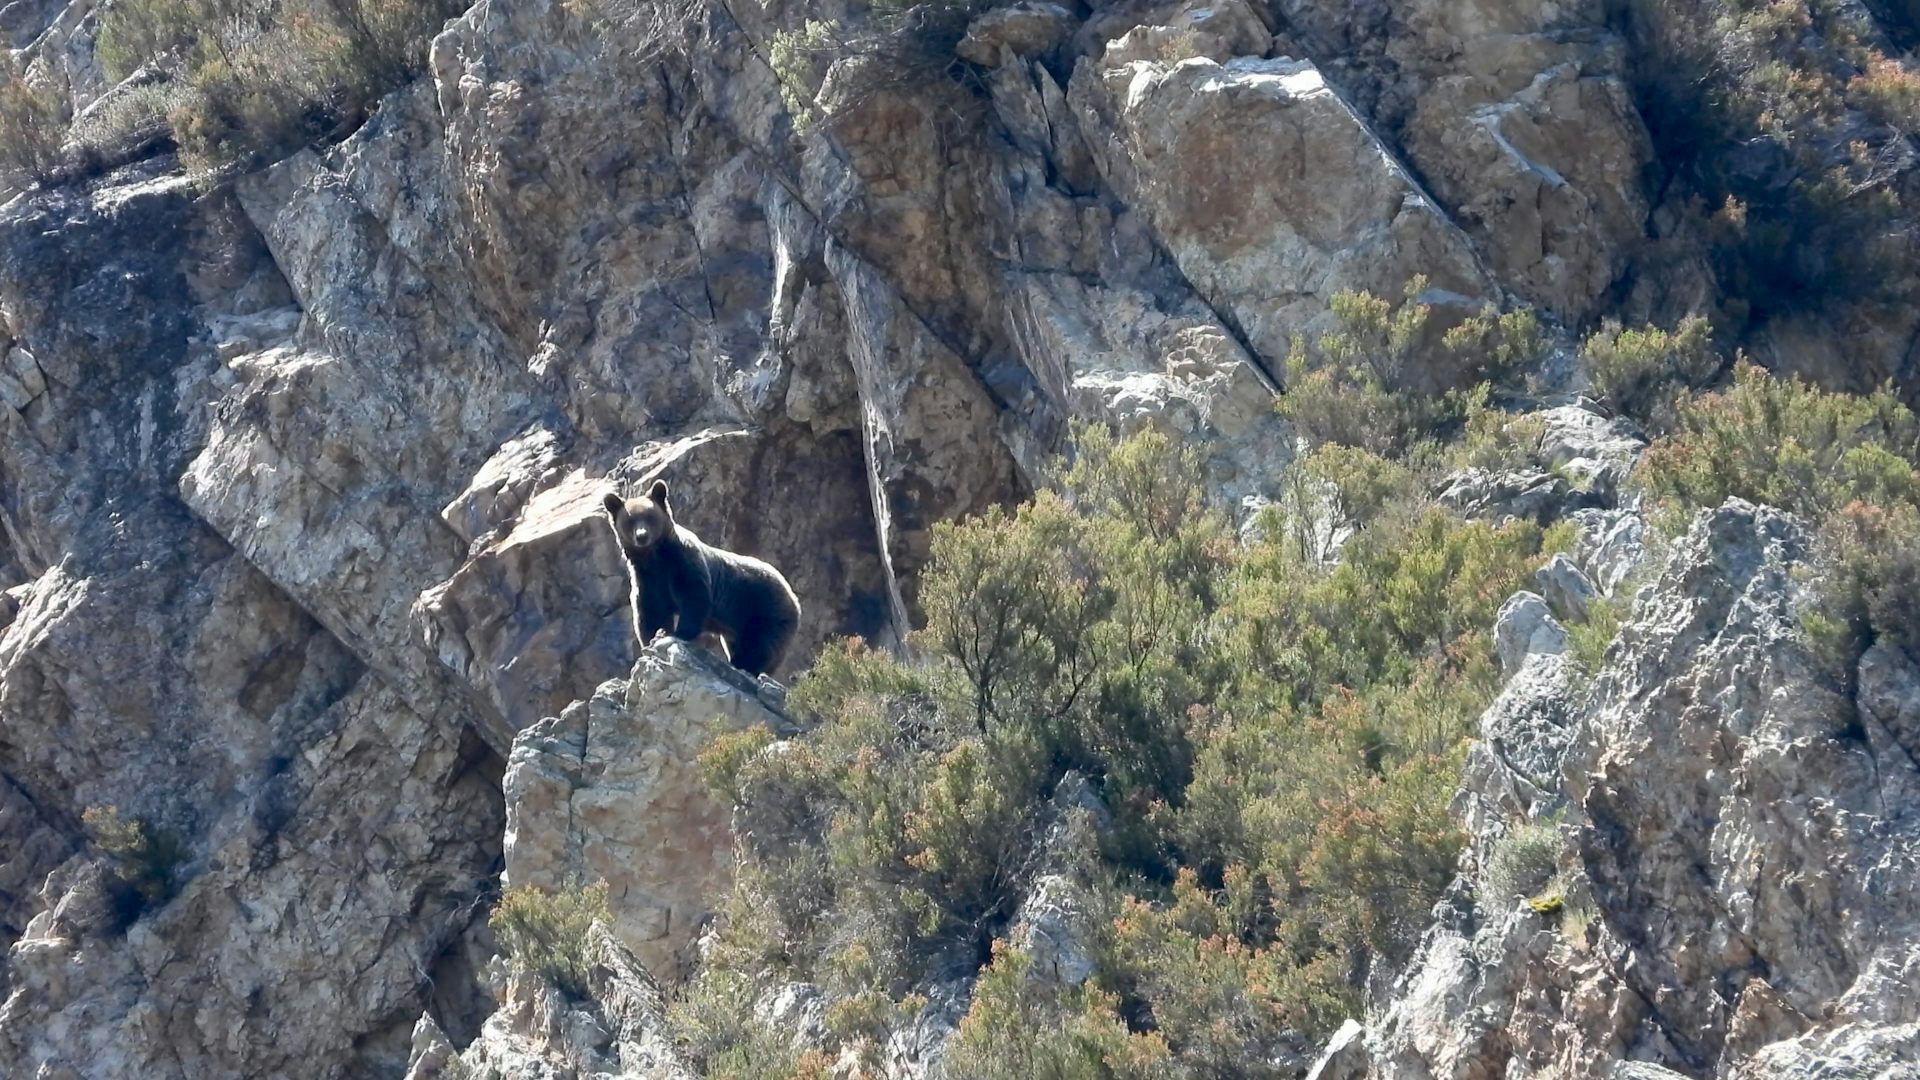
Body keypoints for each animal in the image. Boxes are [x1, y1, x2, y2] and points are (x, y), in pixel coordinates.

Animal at [601, 479, 802, 678]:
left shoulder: (683, 563)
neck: (655, 559)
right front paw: (654, 637)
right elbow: (651, 610)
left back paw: (745, 665)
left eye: (650, 517)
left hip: (764, 609)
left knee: (761, 643)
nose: (642, 536)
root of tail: (792, 595)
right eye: (630, 520)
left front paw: (680, 633)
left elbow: (694, 596)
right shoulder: (647, 579)